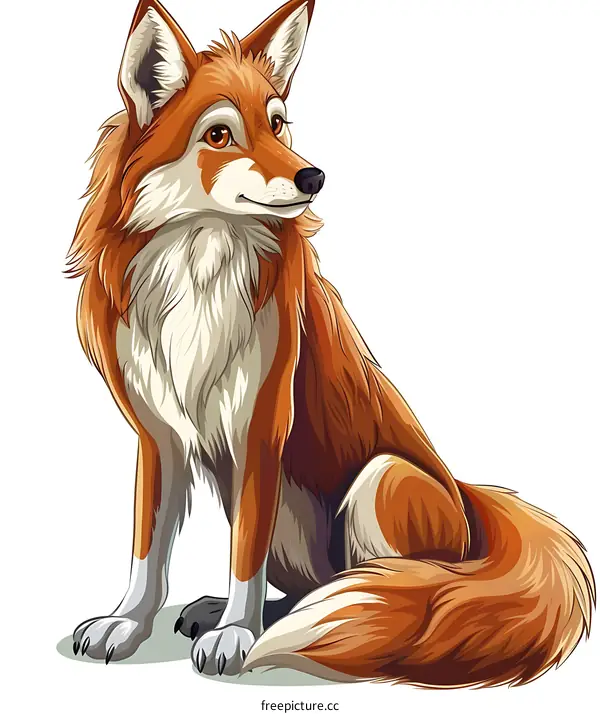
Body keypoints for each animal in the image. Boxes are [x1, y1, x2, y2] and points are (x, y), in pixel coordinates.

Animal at [66, 0, 595, 686]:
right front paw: (129, 622)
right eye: (219, 135)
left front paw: (237, 635)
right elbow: (147, 552)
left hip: (380, 479)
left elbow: (242, 558)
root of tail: (465, 496)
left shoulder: (262, 426)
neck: (200, 271)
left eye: (277, 124)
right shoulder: (159, 434)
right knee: (312, 586)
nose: (313, 175)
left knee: (397, 592)